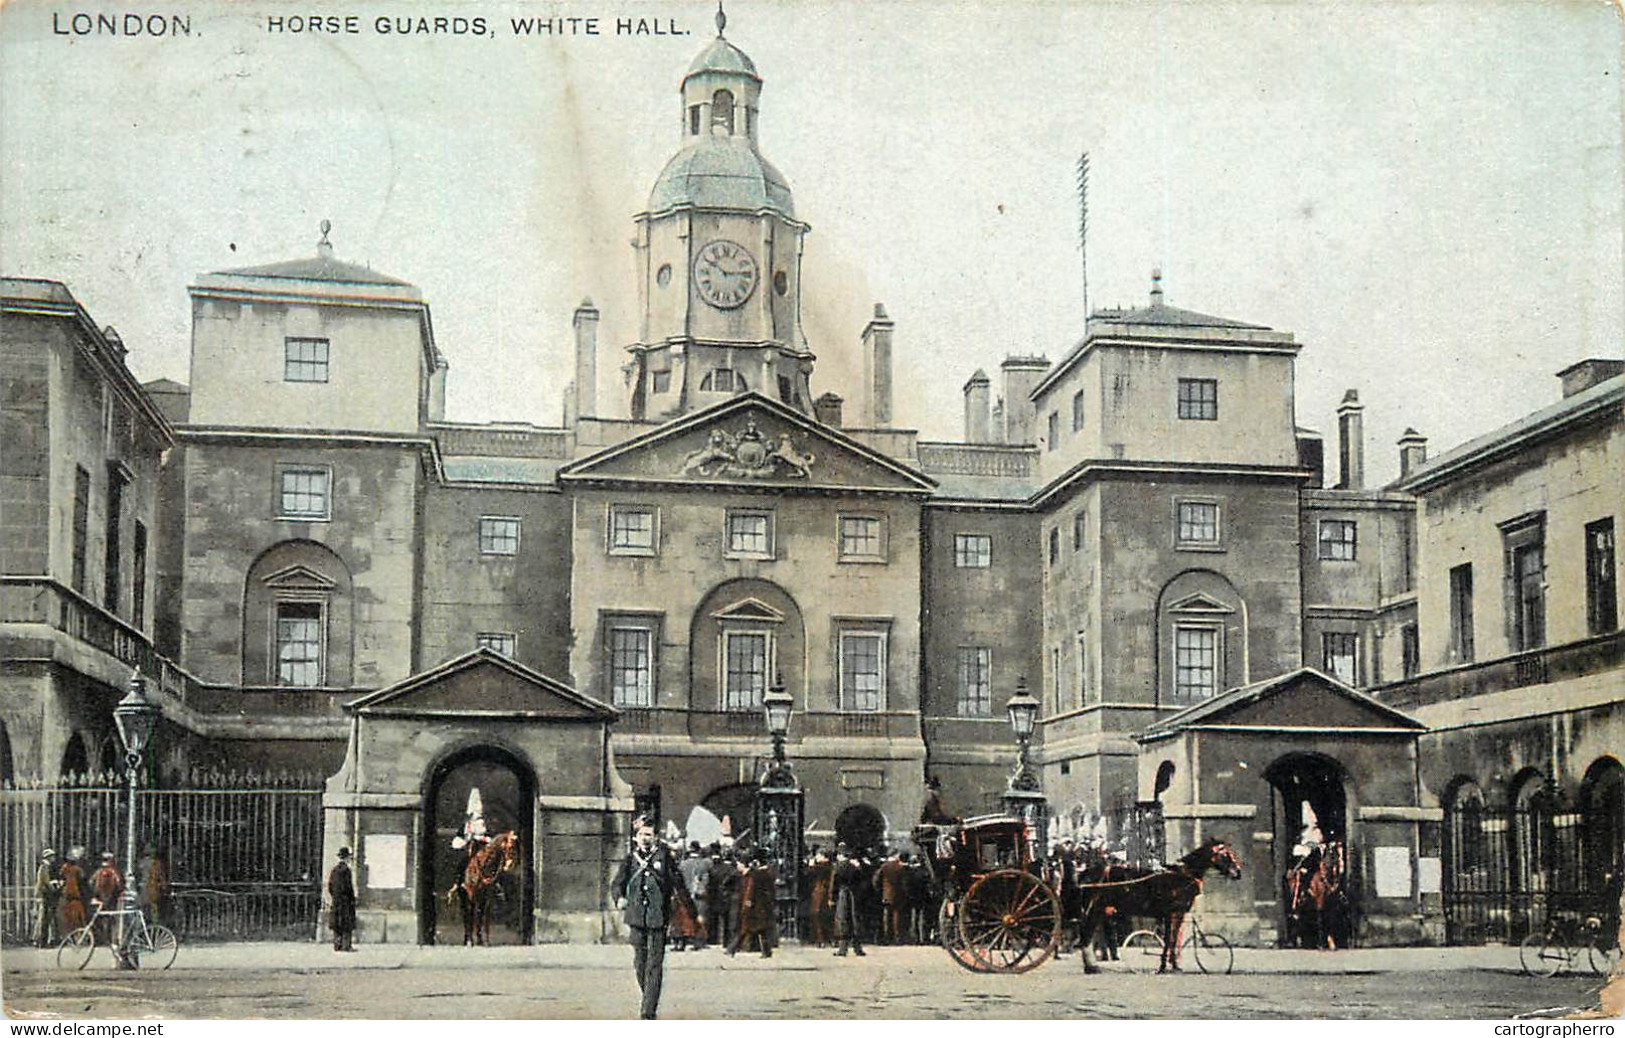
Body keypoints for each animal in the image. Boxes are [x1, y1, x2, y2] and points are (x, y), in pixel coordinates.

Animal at [1079, 838, 1241, 974]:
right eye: (1225, 854)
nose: (1238, 872)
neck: (1182, 877)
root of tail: (1088, 872)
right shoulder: (1174, 914)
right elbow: (1171, 940)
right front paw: (1169, 965)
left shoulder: (1174, 915)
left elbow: (1171, 939)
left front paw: (1169, 965)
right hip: (1094, 910)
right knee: (1086, 936)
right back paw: (1092, 967)